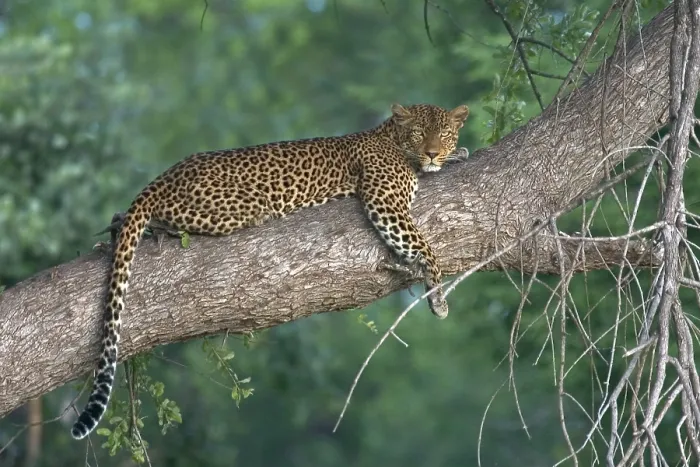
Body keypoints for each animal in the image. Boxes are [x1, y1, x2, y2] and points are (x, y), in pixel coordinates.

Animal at [70, 102, 470, 440]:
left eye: (444, 134)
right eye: (418, 133)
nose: (433, 152)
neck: (392, 138)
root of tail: (164, 176)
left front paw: (457, 154)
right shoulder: (385, 202)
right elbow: (425, 246)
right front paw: (439, 298)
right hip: (242, 207)